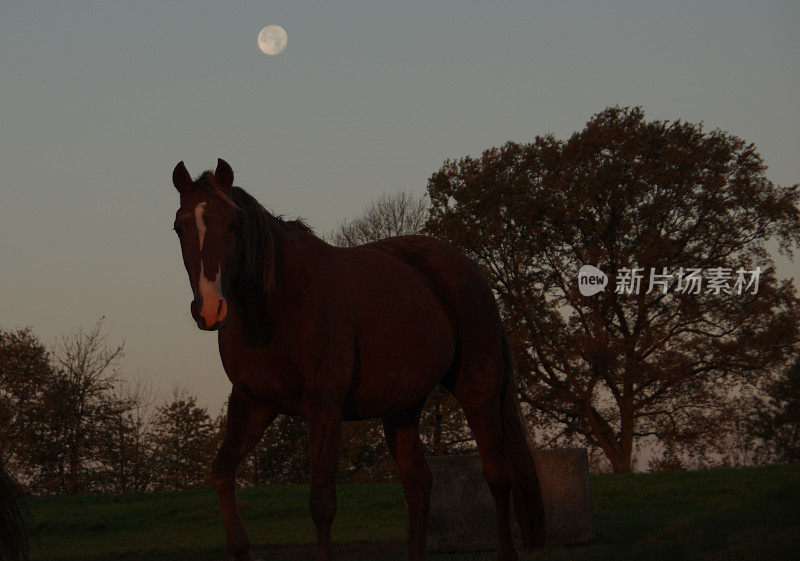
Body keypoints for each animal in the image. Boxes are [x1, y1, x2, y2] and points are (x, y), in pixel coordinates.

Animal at [172, 159, 548, 560]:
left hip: (478, 388)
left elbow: (321, 503)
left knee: (497, 477)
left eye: (232, 224)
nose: (210, 309)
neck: (277, 305)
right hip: (403, 407)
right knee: (418, 485)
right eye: (179, 226)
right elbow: (222, 472)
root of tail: (470, 271)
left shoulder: (324, 407)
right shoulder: (252, 402)